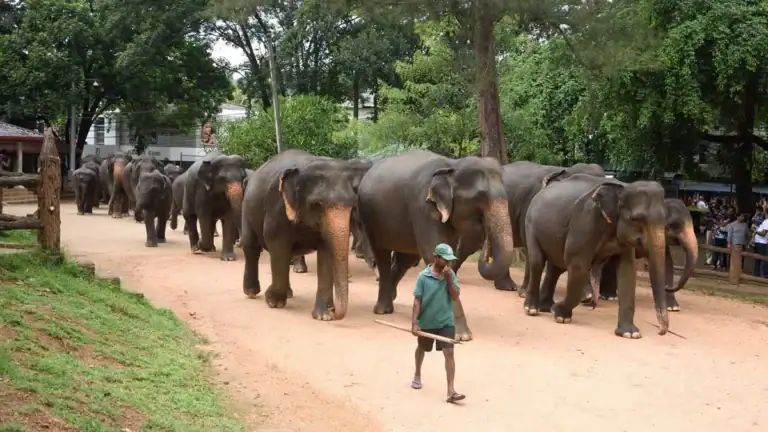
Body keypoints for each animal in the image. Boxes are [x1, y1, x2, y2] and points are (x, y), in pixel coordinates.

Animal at [240, 149, 355, 320]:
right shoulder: (278, 206)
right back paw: (252, 292)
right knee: (251, 247)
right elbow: (277, 244)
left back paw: (288, 294)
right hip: (247, 208)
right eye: (317, 204)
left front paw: (324, 316)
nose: (335, 311)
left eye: (352, 204)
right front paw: (273, 301)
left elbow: (326, 252)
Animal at [357, 150, 516, 341]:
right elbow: (431, 251)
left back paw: (393, 296)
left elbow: (448, 254)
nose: (485, 230)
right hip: (372, 222)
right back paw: (382, 310)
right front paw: (462, 336)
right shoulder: (423, 206)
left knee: (406, 260)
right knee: (383, 256)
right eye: (480, 196)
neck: (452, 165)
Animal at [522, 174, 671, 339]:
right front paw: (560, 314)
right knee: (537, 261)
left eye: (665, 220)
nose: (660, 331)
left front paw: (630, 333)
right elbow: (578, 265)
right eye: (635, 219)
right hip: (530, 224)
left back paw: (546, 308)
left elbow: (627, 271)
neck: (622, 187)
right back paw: (532, 309)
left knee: (556, 268)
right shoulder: (585, 220)